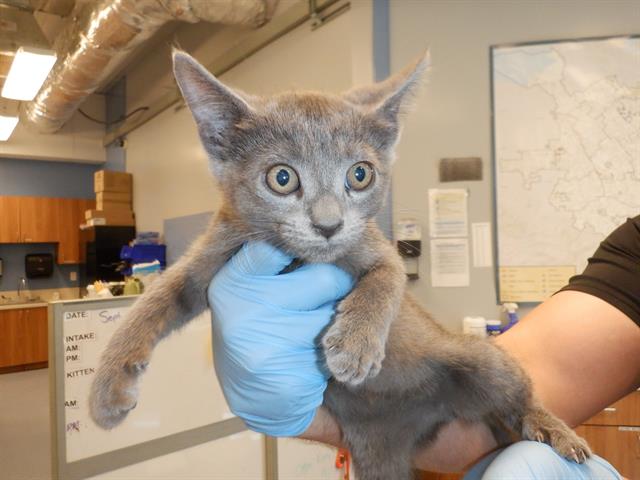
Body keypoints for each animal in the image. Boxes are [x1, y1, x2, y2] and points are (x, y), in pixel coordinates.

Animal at [89, 50, 592, 478]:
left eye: (360, 174)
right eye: (282, 178)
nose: (329, 224)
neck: (297, 259)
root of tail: (404, 424)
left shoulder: (374, 244)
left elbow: (387, 278)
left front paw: (355, 344)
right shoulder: (214, 252)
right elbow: (154, 300)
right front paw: (107, 389)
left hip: (479, 359)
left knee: (514, 395)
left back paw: (554, 432)